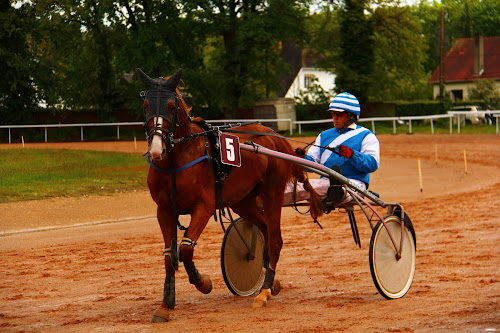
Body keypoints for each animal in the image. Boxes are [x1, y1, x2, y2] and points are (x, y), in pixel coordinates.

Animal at [135, 68, 322, 322]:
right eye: (146, 106)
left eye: (172, 107)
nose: (156, 149)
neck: (177, 162)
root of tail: (275, 136)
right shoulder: (163, 210)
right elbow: (168, 257)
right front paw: (165, 305)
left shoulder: (203, 207)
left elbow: (185, 250)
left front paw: (203, 282)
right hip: (243, 200)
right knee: (264, 230)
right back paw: (270, 280)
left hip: (271, 193)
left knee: (275, 240)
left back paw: (263, 292)